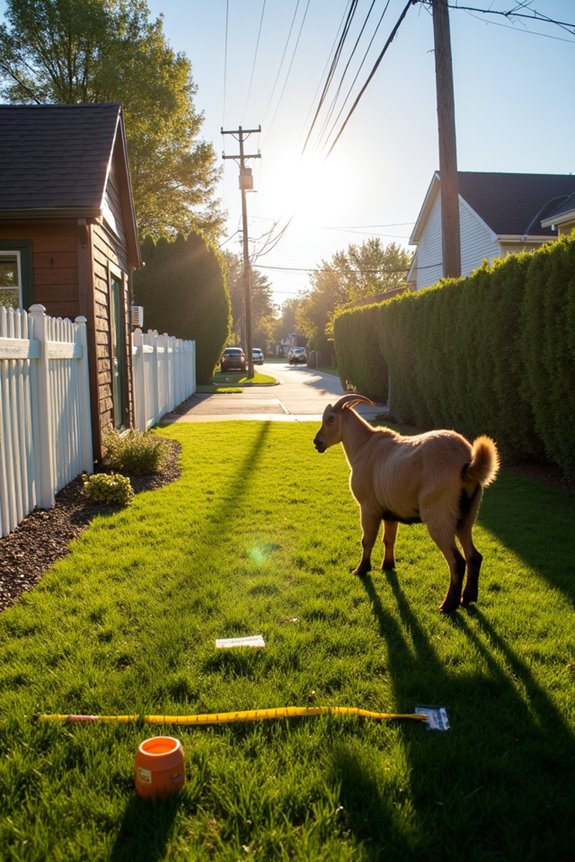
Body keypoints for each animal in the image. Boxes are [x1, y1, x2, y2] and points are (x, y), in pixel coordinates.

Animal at [313, 394, 500, 612]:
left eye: (330, 419)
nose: (317, 442)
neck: (364, 447)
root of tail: (467, 464)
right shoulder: (390, 512)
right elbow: (388, 539)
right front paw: (387, 566)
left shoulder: (368, 508)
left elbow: (367, 540)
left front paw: (361, 569)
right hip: (466, 517)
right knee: (474, 556)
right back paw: (468, 598)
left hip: (439, 517)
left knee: (457, 561)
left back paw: (447, 605)